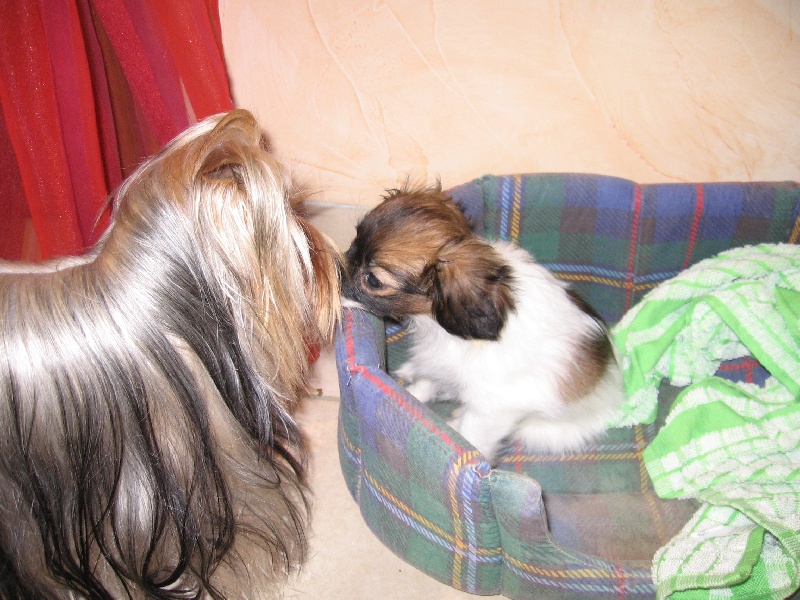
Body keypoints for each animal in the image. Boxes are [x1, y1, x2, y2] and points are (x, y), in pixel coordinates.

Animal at [343, 185, 624, 462]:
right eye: (352, 245)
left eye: (373, 280)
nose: (335, 275)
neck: (437, 325)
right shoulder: (441, 362)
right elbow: (427, 383)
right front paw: (410, 396)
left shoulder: (492, 407)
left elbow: (473, 435)